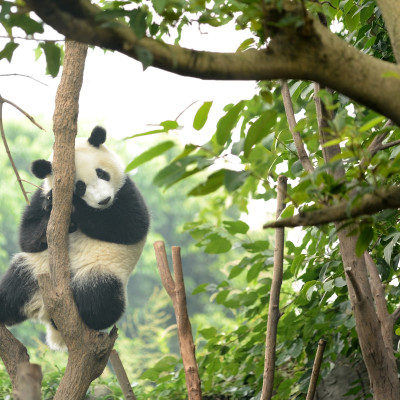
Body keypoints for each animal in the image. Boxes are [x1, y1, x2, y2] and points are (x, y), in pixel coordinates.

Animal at [0, 126, 149, 348]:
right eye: (80, 186)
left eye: (101, 173)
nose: (104, 200)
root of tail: (45, 312)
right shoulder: (41, 194)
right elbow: (27, 237)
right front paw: (53, 209)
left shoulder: (125, 190)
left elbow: (131, 225)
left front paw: (76, 210)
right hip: (36, 269)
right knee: (14, 286)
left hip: (101, 269)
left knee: (99, 296)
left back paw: (89, 316)